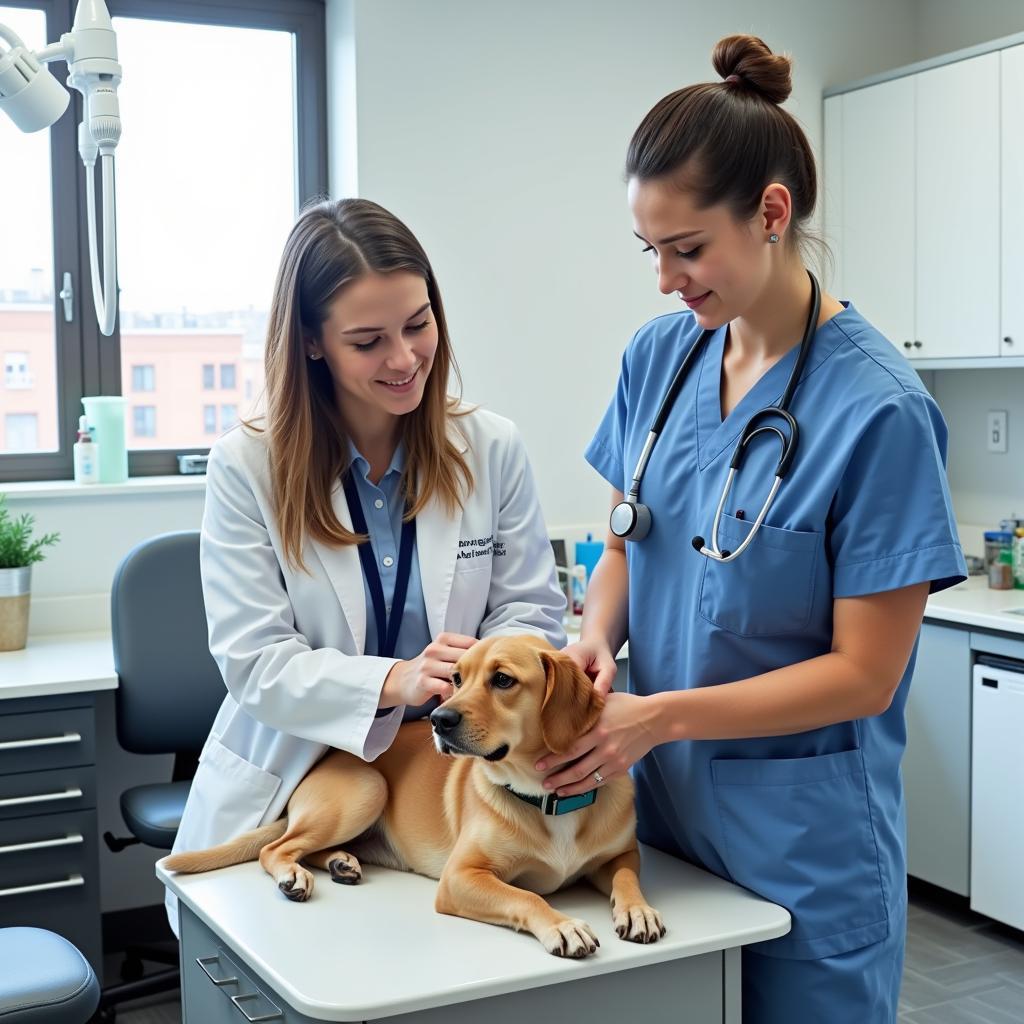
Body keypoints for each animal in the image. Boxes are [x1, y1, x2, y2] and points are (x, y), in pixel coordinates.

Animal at [161, 634, 663, 954]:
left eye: (502, 680)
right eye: (456, 678)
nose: (439, 719)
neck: (547, 798)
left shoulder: (622, 854)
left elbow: (627, 877)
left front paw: (638, 910)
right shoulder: (461, 878)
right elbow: (527, 898)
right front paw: (562, 925)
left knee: (307, 847)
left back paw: (341, 863)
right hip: (367, 790)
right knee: (277, 848)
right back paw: (294, 875)